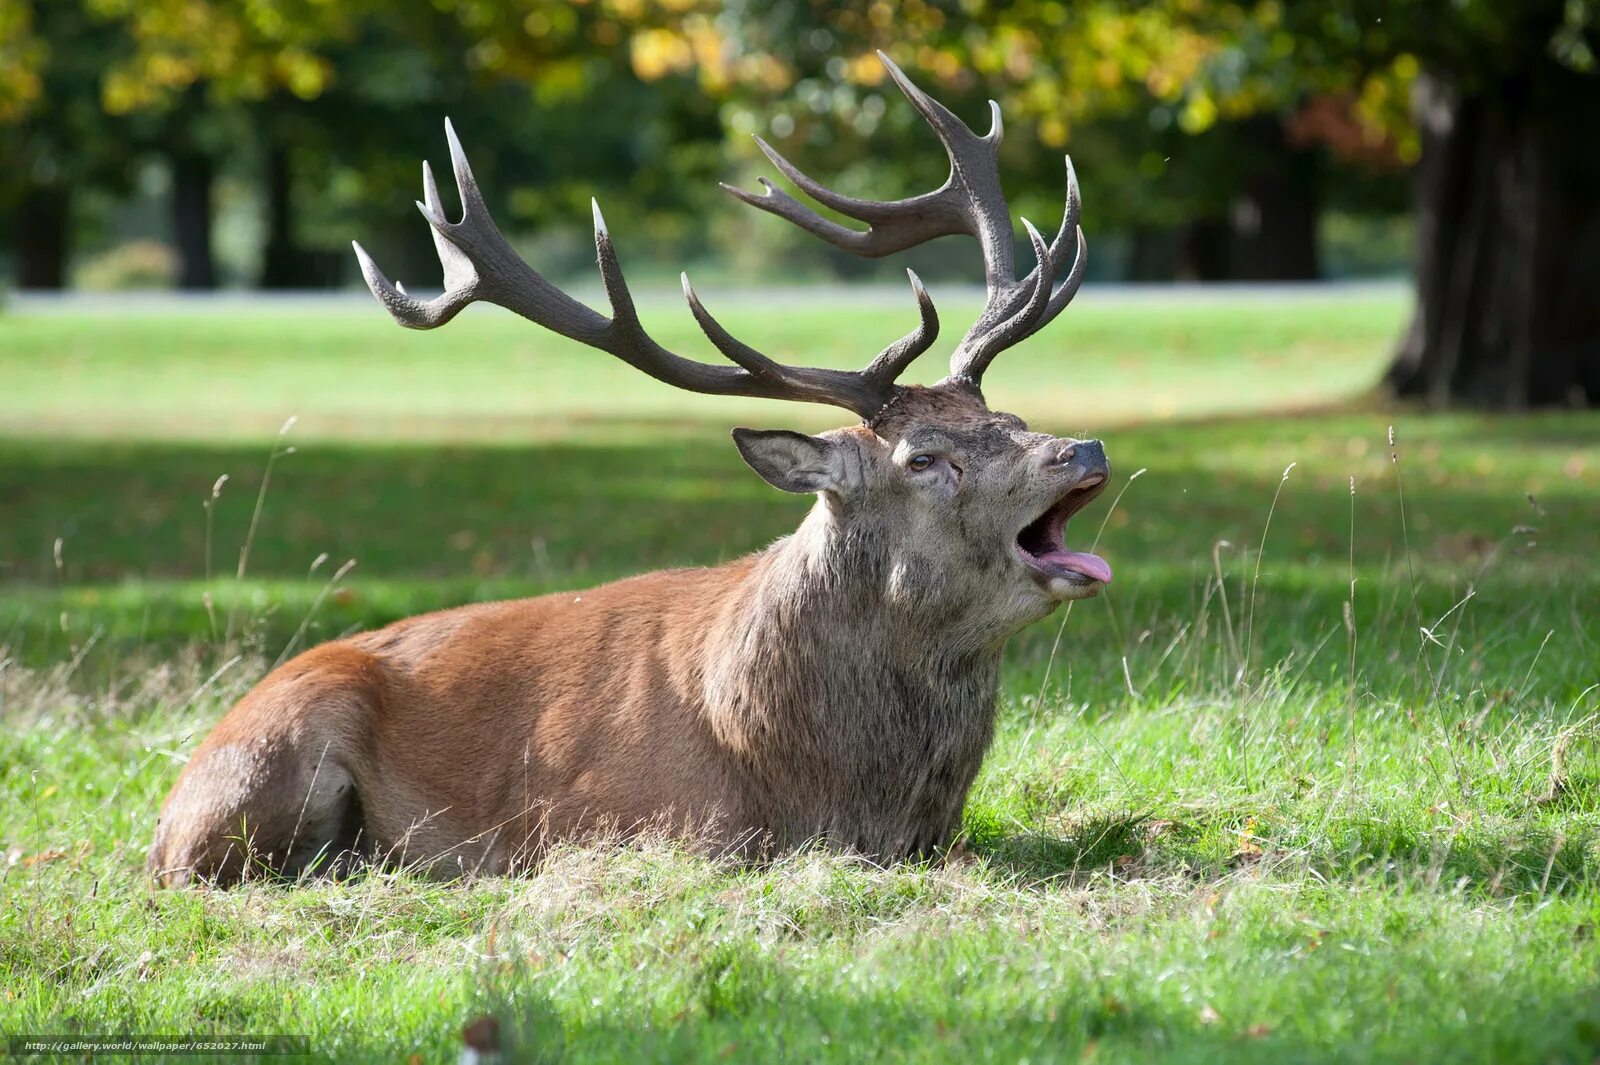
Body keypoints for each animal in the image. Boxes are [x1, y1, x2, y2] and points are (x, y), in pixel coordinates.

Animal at [152, 55, 1113, 889]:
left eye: (1011, 420)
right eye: (924, 459)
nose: (1084, 450)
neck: (827, 785)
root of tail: (159, 822)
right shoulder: (621, 820)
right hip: (272, 758)